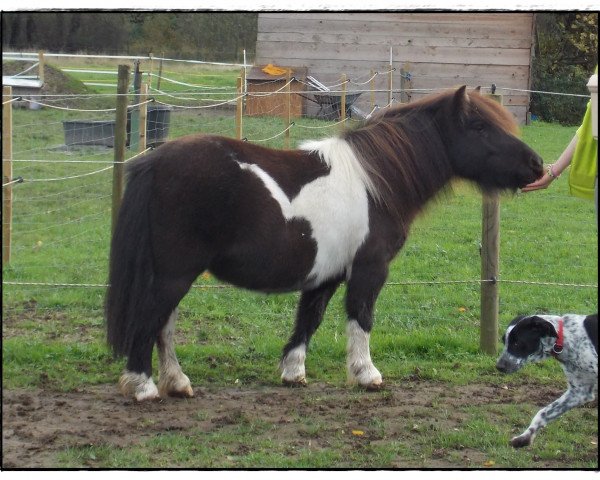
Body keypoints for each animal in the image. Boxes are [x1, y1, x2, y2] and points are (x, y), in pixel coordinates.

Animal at [108, 87, 544, 402]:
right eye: (480, 127)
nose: (536, 165)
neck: (375, 182)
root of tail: (155, 160)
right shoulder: (369, 269)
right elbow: (361, 317)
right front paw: (367, 374)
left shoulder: (328, 272)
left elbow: (309, 318)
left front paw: (293, 371)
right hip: (174, 273)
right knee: (150, 320)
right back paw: (143, 386)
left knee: (163, 325)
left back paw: (177, 382)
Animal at [496, 314, 596, 448]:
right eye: (504, 341)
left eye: (517, 343)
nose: (499, 366)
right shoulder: (579, 392)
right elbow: (543, 412)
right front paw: (524, 437)